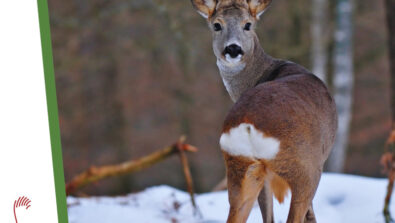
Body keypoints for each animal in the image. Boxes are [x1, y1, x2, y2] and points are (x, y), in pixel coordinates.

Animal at [191, 0, 338, 223]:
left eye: (248, 24)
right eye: (217, 25)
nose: (233, 48)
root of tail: (247, 124)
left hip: (241, 167)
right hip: (304, 168)